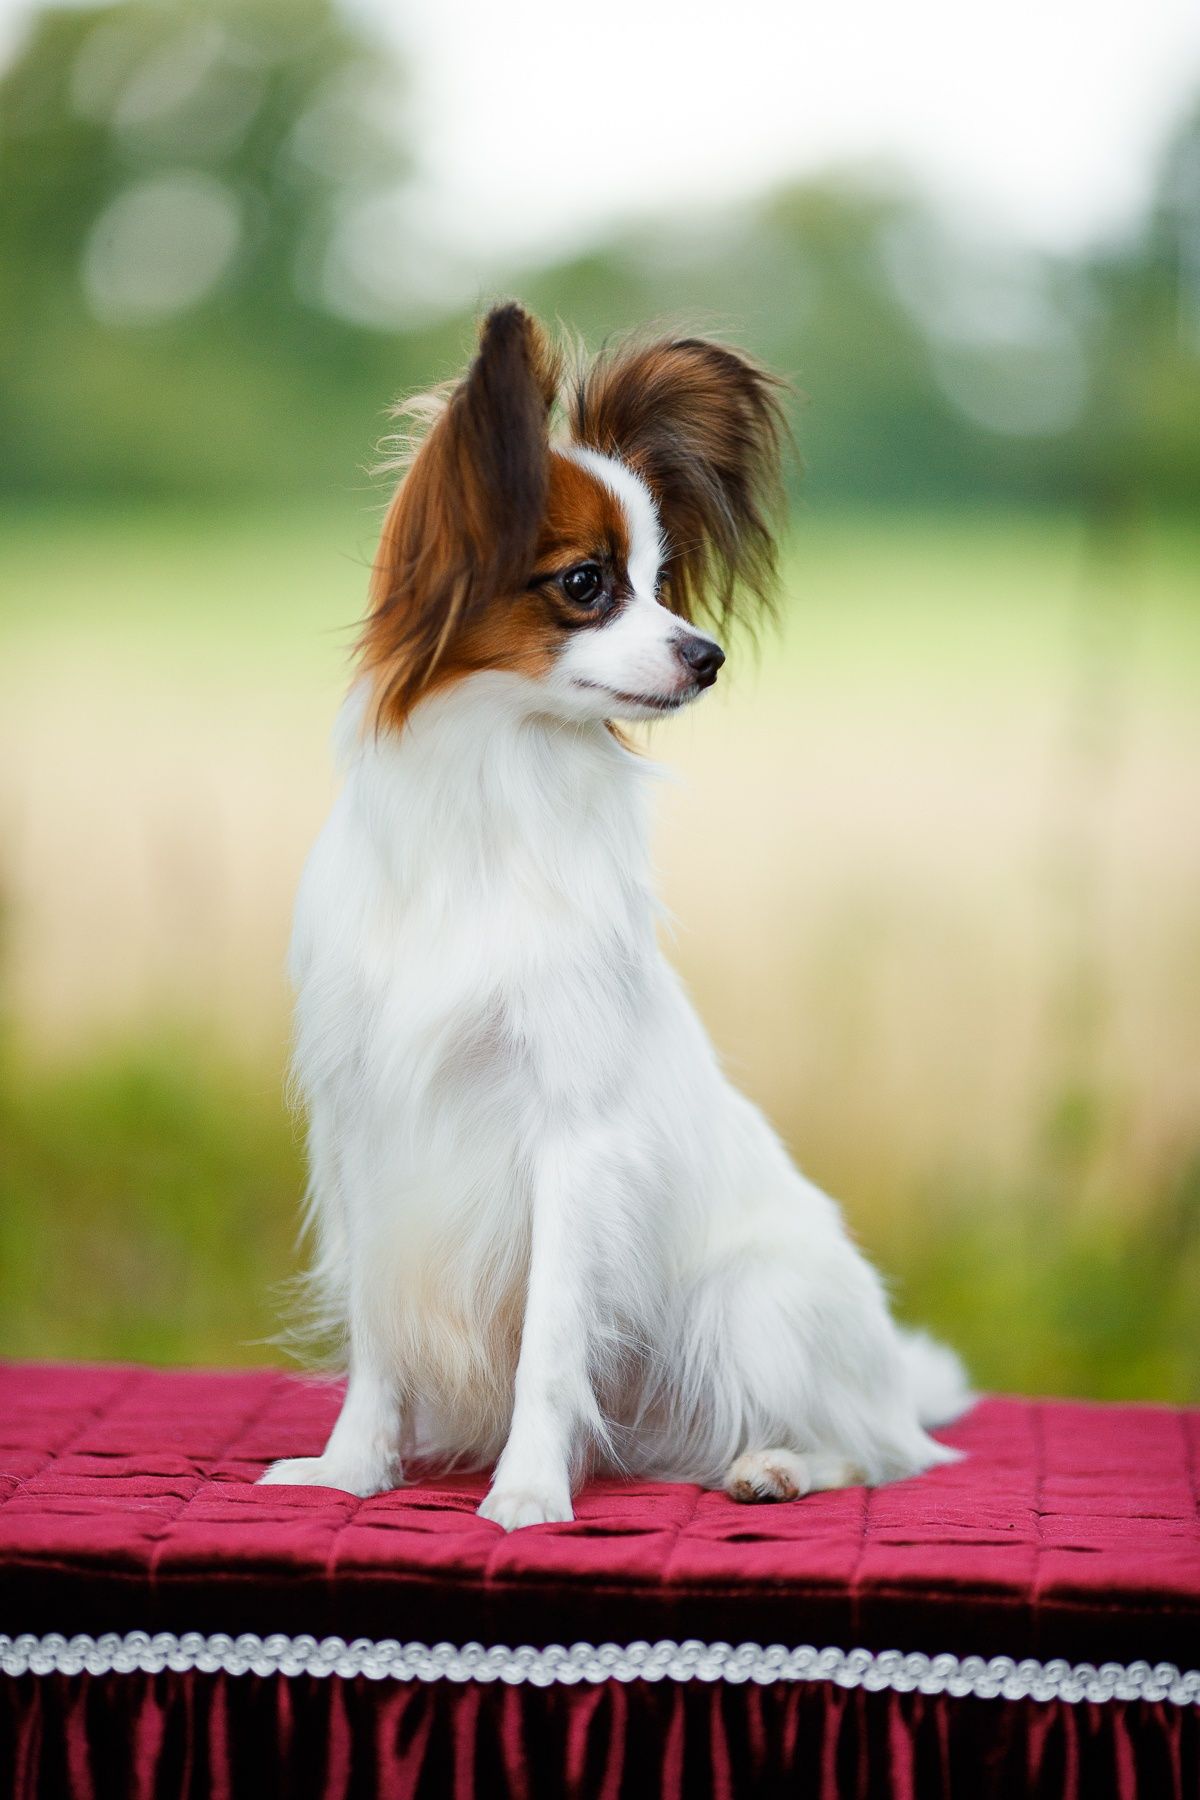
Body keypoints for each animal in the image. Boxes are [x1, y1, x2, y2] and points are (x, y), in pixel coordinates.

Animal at [259, 302, 971, 1526]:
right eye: (588, 583)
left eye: (666, 579)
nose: (708, 655)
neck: (485, 805)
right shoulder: (367, 1136)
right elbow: (380, 1343)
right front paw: (353, 1471)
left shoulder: (571, 1140)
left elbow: (550, 1347)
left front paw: (528, 1493)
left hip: (753, 1309)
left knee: (878, 1452)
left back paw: (778, 1466)